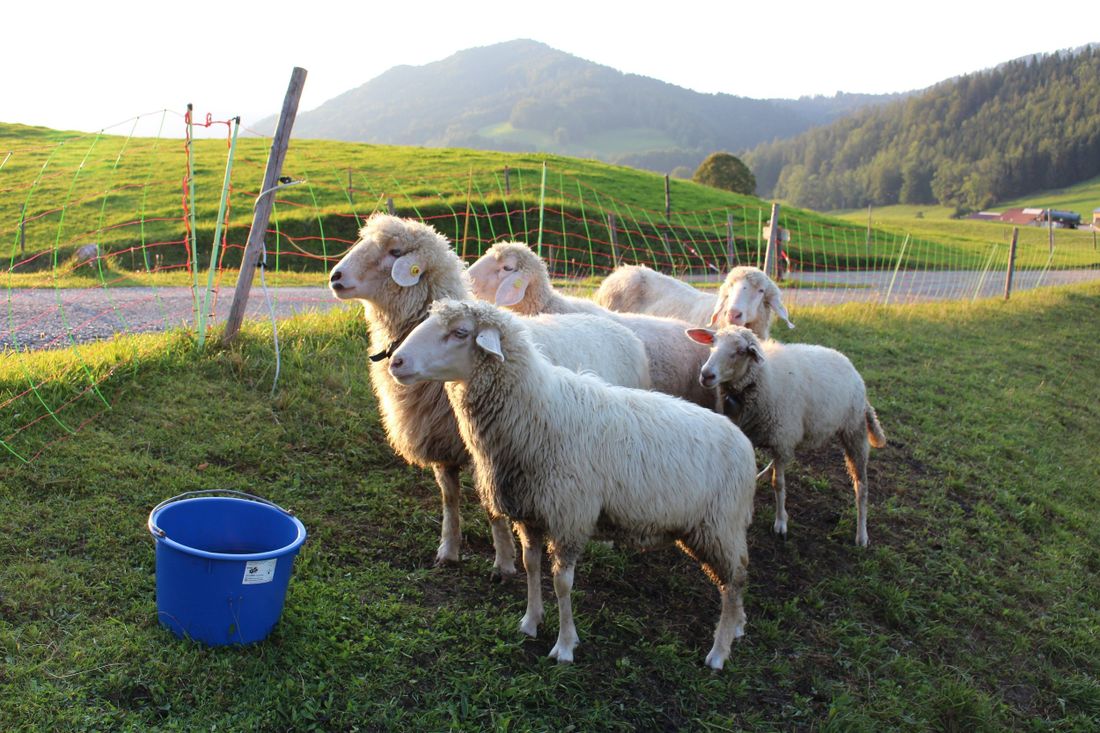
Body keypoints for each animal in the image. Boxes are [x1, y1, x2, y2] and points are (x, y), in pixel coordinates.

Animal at [328, 214, 650, 577]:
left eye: (394, 251)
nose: (335, 277)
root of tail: (619, 326)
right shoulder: (443, 442)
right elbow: (449, 497)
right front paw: (448, 550)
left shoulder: (488, 448)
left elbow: (491, 507)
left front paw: (505, 561)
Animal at [388, 298, 757, 669]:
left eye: (460, 332)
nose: (395, 362)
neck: (535, 414)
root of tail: (743, 443)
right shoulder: (530, 513)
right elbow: (531, 565)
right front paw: (530, 621)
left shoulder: (569, 516)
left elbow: (562, 582)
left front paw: (565, 646)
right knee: (738, 577)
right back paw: (739, 627)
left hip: (719, 525)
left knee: (734, 581)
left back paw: (719, 652)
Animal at [686, 325, 887, 546]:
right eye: (713, 342)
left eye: (740, 351)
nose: (706, 375)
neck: (762, 379)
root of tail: (849, 364)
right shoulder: (763, 436)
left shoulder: (782, 439)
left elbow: (779, 484)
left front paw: (781, 522)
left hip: (854, 430)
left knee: (862, 486)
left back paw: (862, 534)